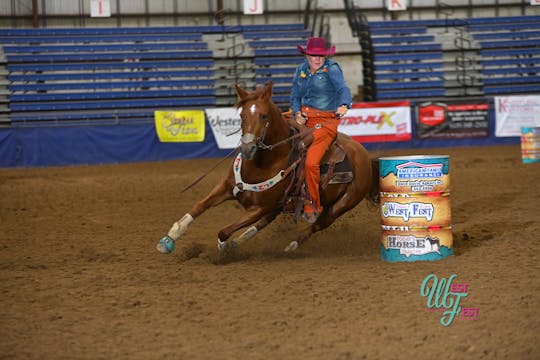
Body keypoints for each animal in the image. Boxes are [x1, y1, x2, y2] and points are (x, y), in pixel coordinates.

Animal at [155, 83, 376, 255]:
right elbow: (199, 206)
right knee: (263, 224)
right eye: (241, 115)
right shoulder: (226, 187)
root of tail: (364, 155)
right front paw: (169, 238)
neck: (261, 164)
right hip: (279, 205)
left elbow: (223, 231)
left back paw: (290, 246)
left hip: (340, 206)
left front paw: (222, 248)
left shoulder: (258, 208)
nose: (247, 148)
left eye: (263, 116)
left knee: (317, 225)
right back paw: (238, 243)